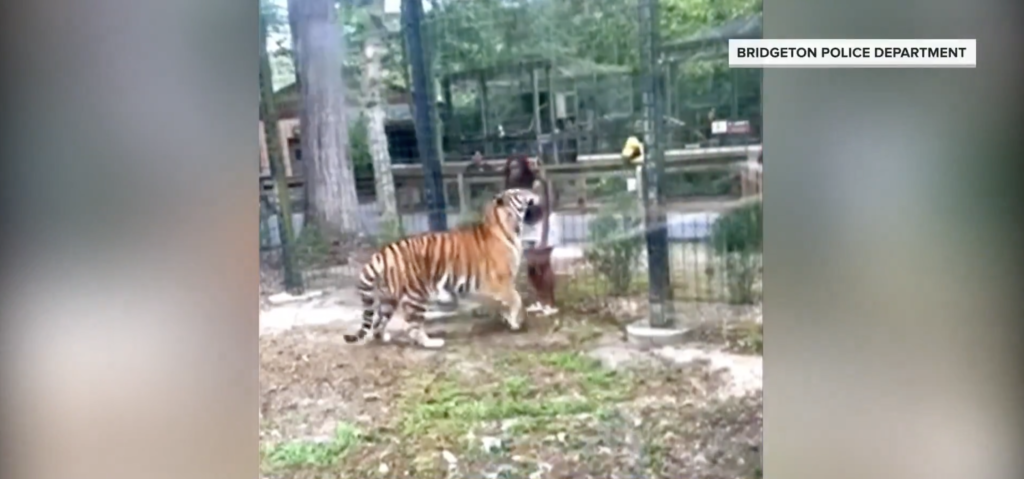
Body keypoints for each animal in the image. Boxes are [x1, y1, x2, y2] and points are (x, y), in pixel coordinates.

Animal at [342, 187, 544, 347]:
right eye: (519, 192)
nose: (535, 192)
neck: (509, 225)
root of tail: (383, 252)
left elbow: (507, 302)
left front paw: (509, 319)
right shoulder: (499, 281)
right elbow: (516, 299)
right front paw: (516, 321)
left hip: (388, 299)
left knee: (378, 322)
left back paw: (383, 337)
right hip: (416, 295)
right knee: (412, 327)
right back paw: (432, 342)